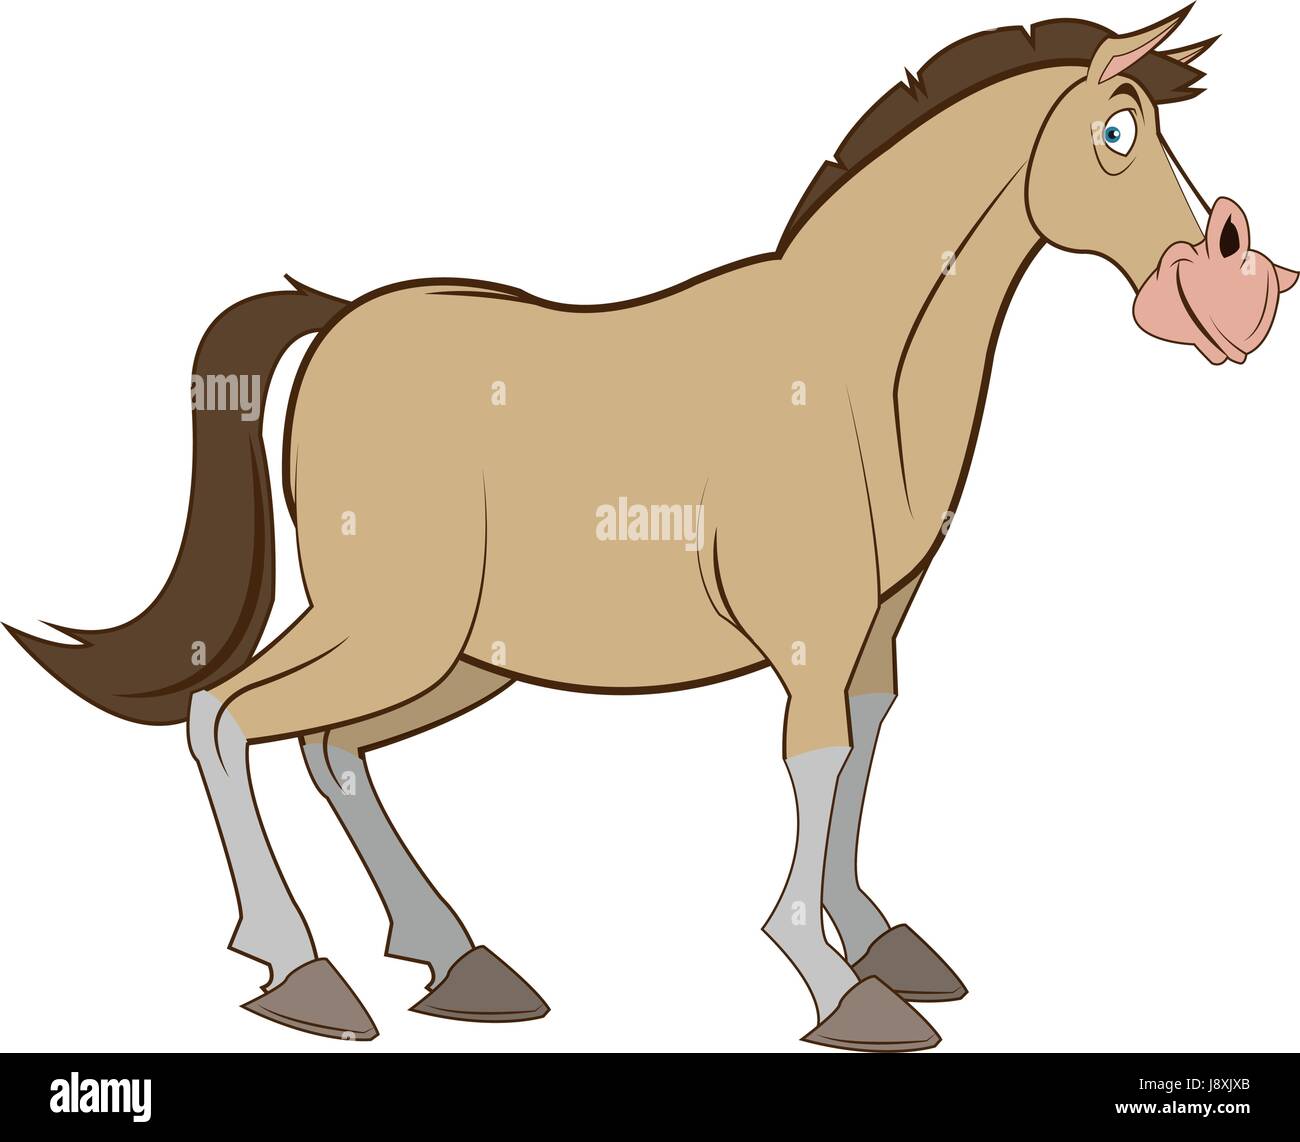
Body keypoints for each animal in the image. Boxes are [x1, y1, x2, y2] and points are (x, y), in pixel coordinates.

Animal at [9, 9, 1294, 1051]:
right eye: (1117, 132)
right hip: (394, 626)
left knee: (334, 749)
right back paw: (301, 968)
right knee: (225, 716)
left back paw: (458, 959)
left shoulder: (873, 633)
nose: (1243, 304)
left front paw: (879, 939)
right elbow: (815, 760)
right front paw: (837, 982)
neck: (851, 367)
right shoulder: (811, 632)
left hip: (460, 652)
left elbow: (864, 745)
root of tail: (332, 325)